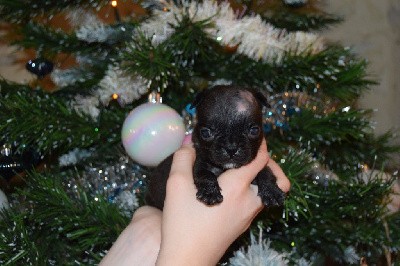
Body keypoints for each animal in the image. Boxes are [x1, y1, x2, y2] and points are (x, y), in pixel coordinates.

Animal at [145, 85, 286, 210]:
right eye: (206, 133)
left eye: (254, 130)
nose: (231, 148)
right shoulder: (200, 163)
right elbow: (204, 174)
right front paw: (210, 192)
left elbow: (266, 172)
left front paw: (271, 191)